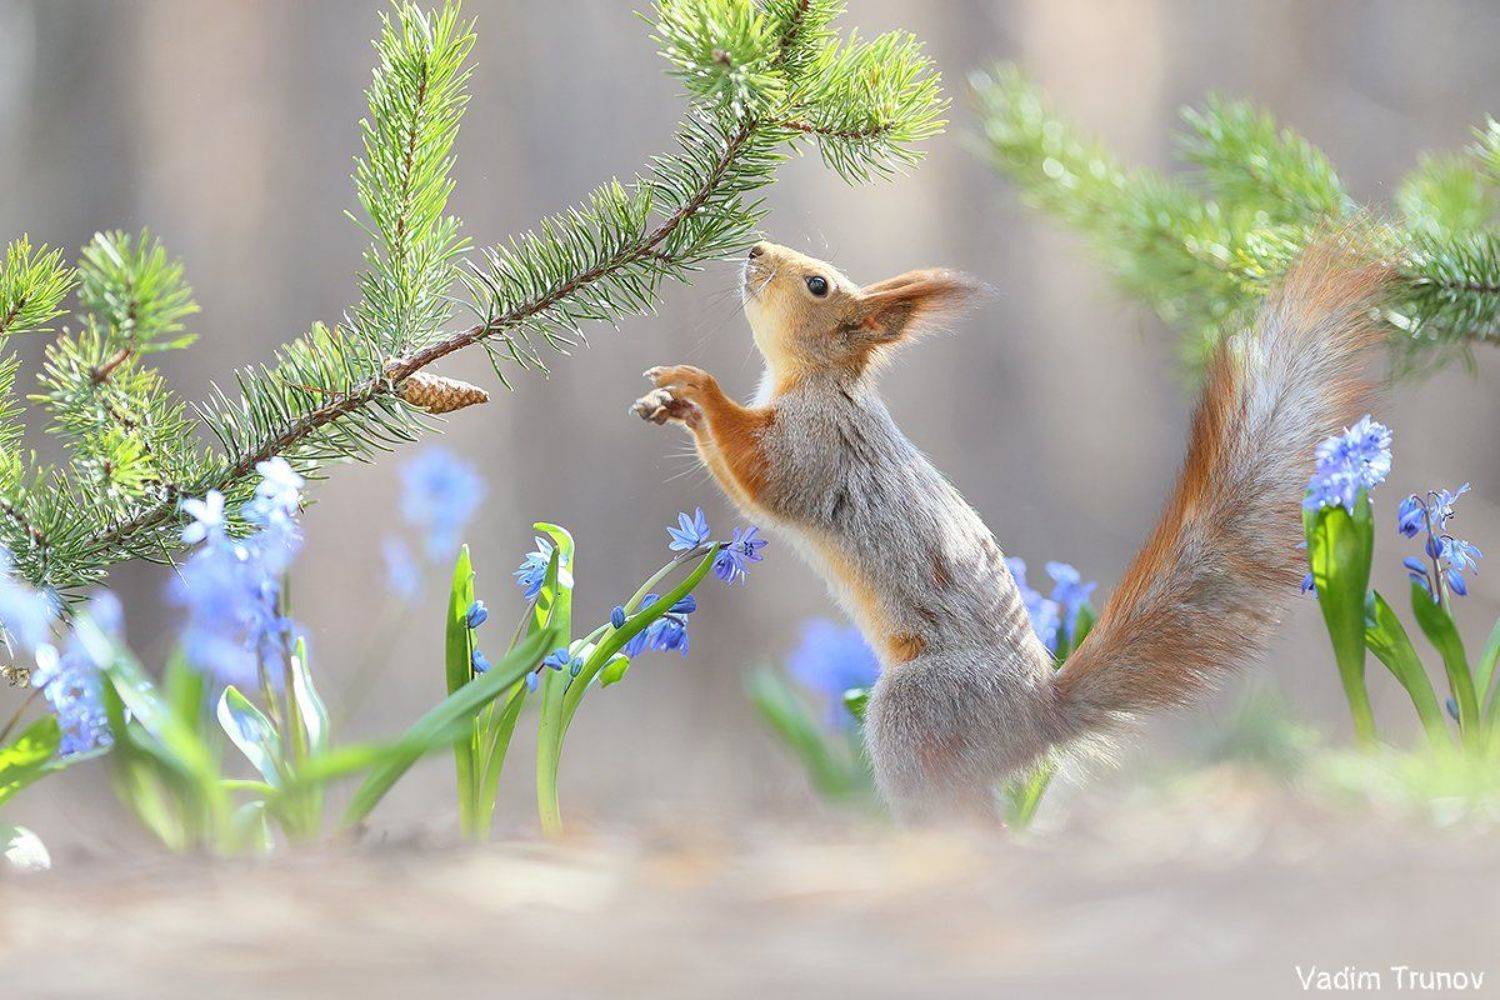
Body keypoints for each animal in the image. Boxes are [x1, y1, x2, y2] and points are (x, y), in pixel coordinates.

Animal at [631, 238, 1386, 820]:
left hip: (918, 712)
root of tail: (1032, 721)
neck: (820, 380)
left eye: (817, 284)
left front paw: (696, 387)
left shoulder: (813, 449)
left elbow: (758, 472)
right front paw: (671, 403)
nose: (755, 249)